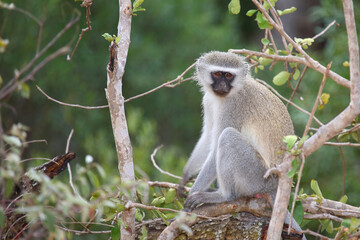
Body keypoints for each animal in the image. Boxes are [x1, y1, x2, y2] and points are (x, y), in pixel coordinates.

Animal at [180, 50, 304, 238]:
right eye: (217, 74)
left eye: (228, 75)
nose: (222, 85)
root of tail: (277, 186)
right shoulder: (208, 100)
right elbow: (208, 136)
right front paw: (185, 176)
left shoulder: (234, 106)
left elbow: (215, 147)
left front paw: (192, 194)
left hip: (257, 177)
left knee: (227, 137)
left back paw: (224, 195)